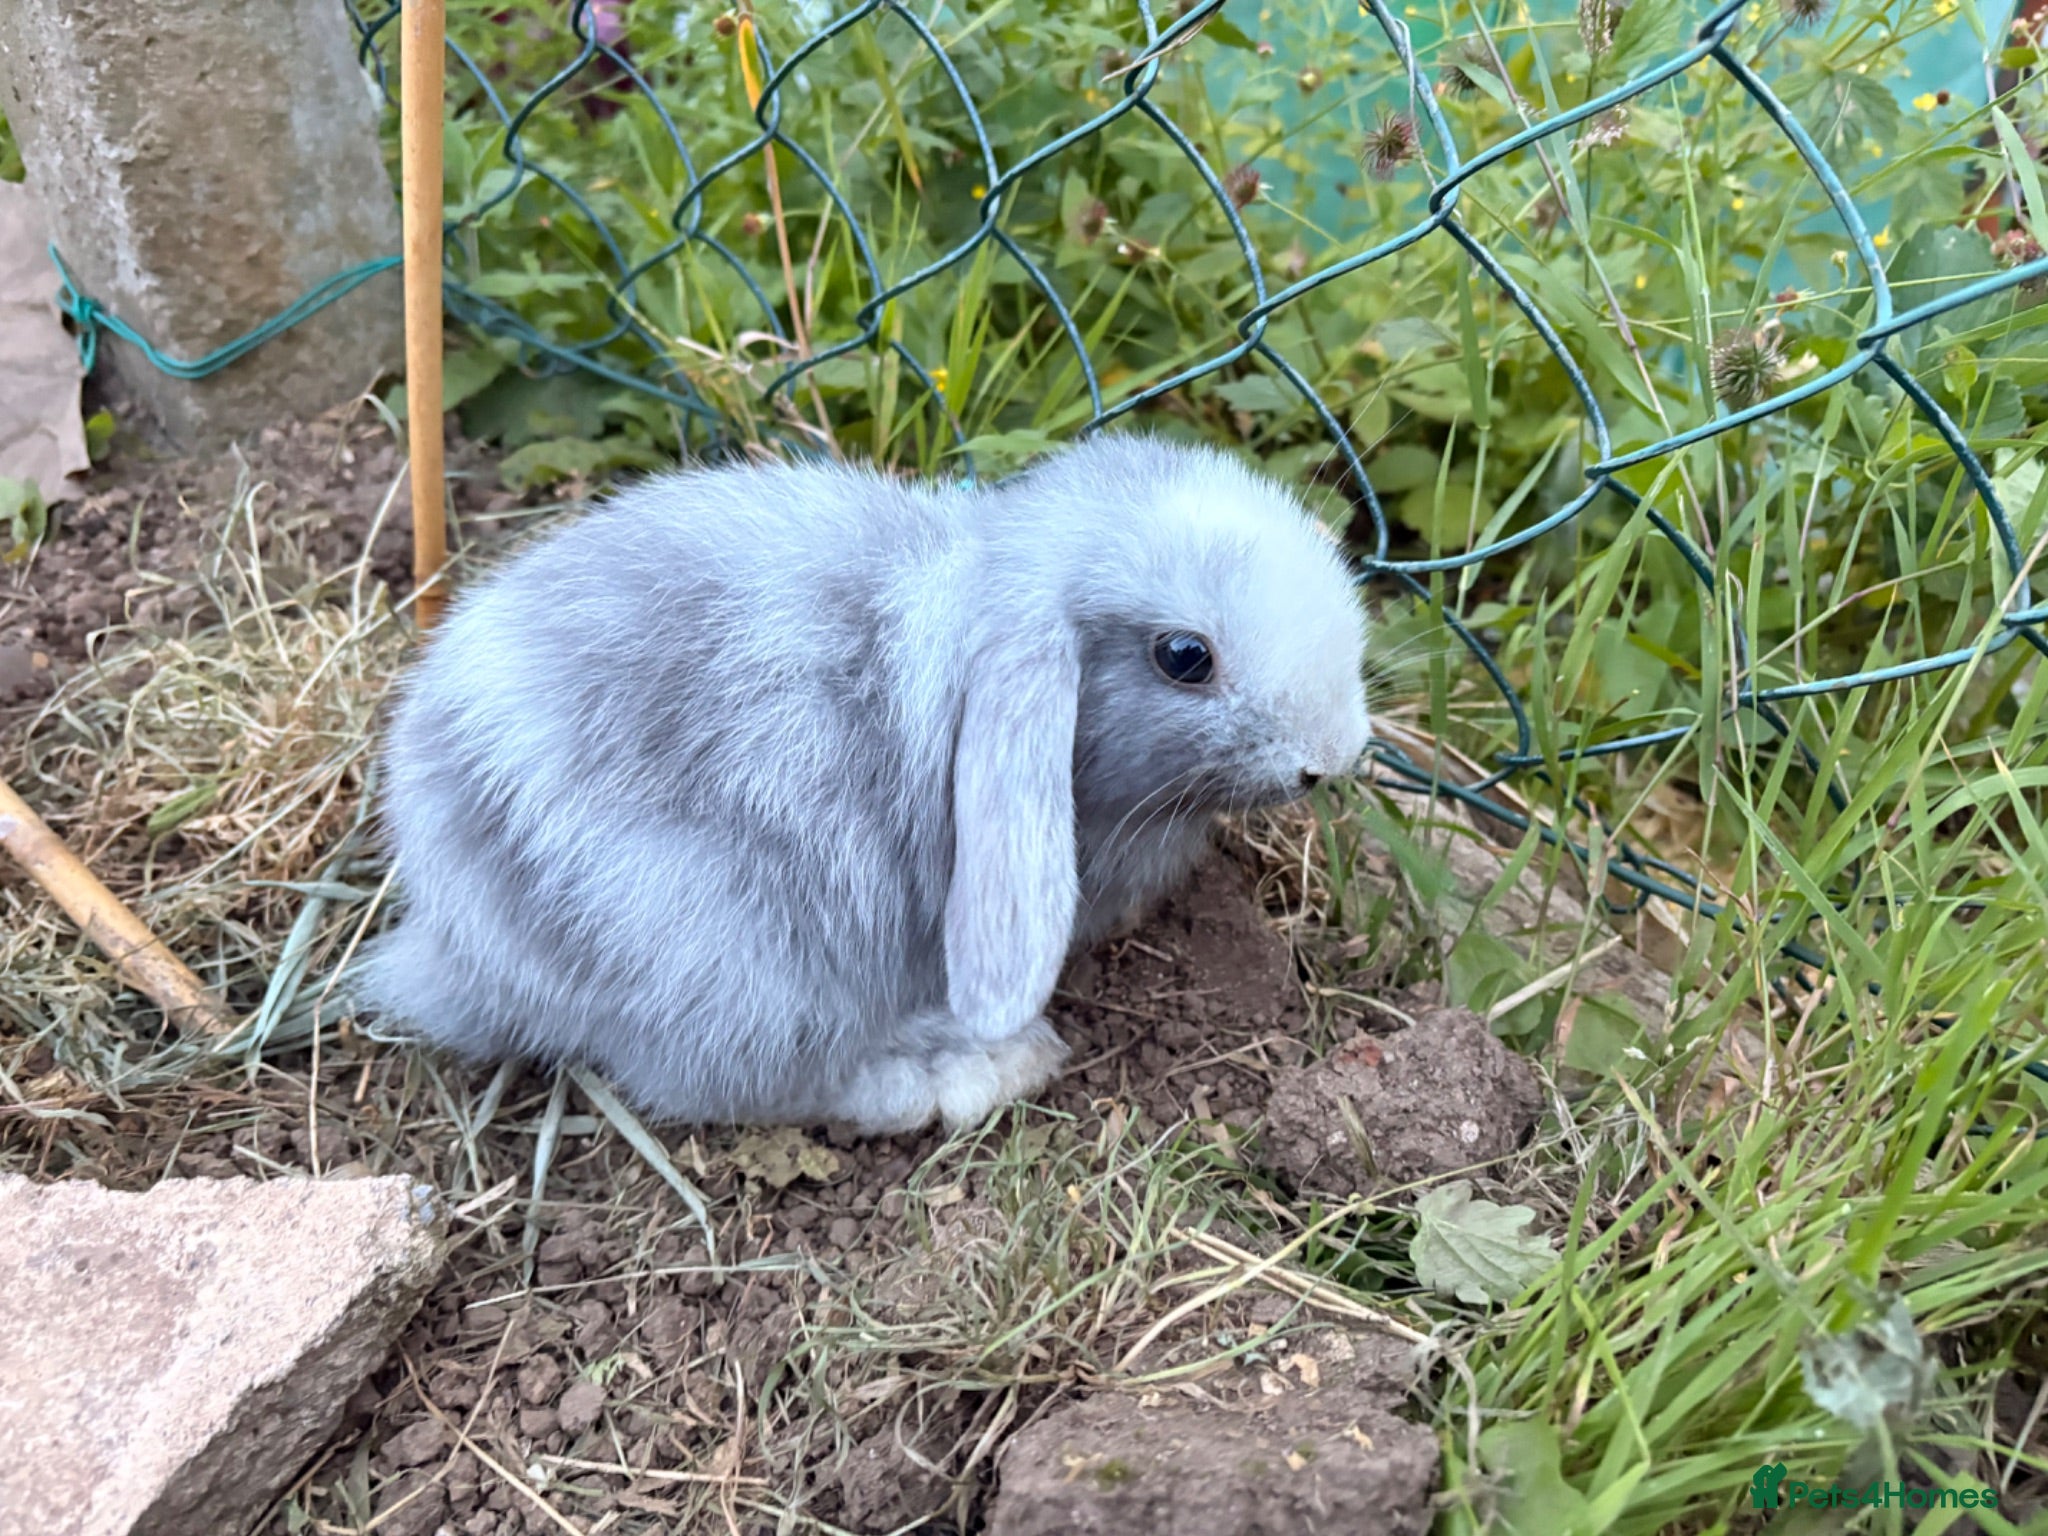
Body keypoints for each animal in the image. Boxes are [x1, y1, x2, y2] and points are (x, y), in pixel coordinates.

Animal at [355, 433, 1372, 1134]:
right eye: (1184, 657)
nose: (1334, 754)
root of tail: (460, 944)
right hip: (724, 956)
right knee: (730, 1084)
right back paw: (970, 1070)